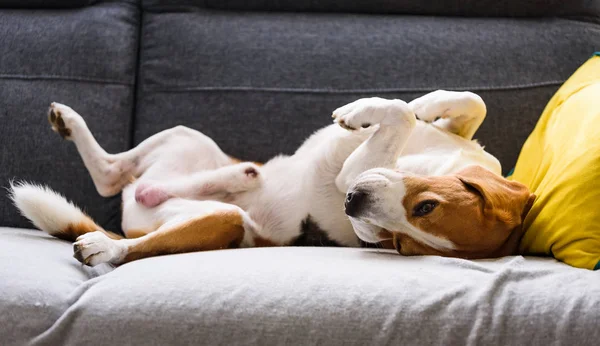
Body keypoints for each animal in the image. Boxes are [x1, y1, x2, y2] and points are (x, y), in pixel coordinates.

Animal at [8, 89, 536, 264]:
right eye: (426, 206)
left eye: (402, 243)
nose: (353, 206)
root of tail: (131, 222)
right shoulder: (459, 140)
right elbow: (465, 105)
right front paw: (420, 104)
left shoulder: (353, 175)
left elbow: (400, 115)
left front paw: (368, 113)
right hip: (185, 137)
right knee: (113, 174)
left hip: (220, 219)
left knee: (125, 212)